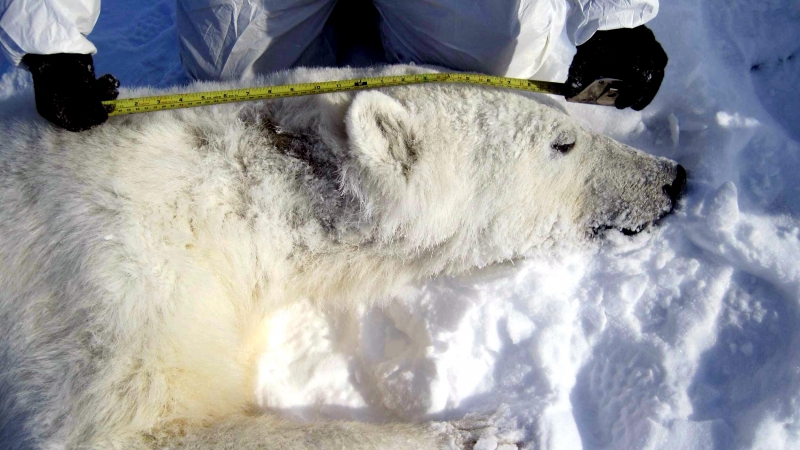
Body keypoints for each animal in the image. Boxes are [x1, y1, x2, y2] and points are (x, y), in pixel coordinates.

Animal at [0, 64, 685, 449]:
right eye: (562, 143)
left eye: (569, 118)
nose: (674, 179)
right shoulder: (107, 282)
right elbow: (128, 429)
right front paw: (477, 432)